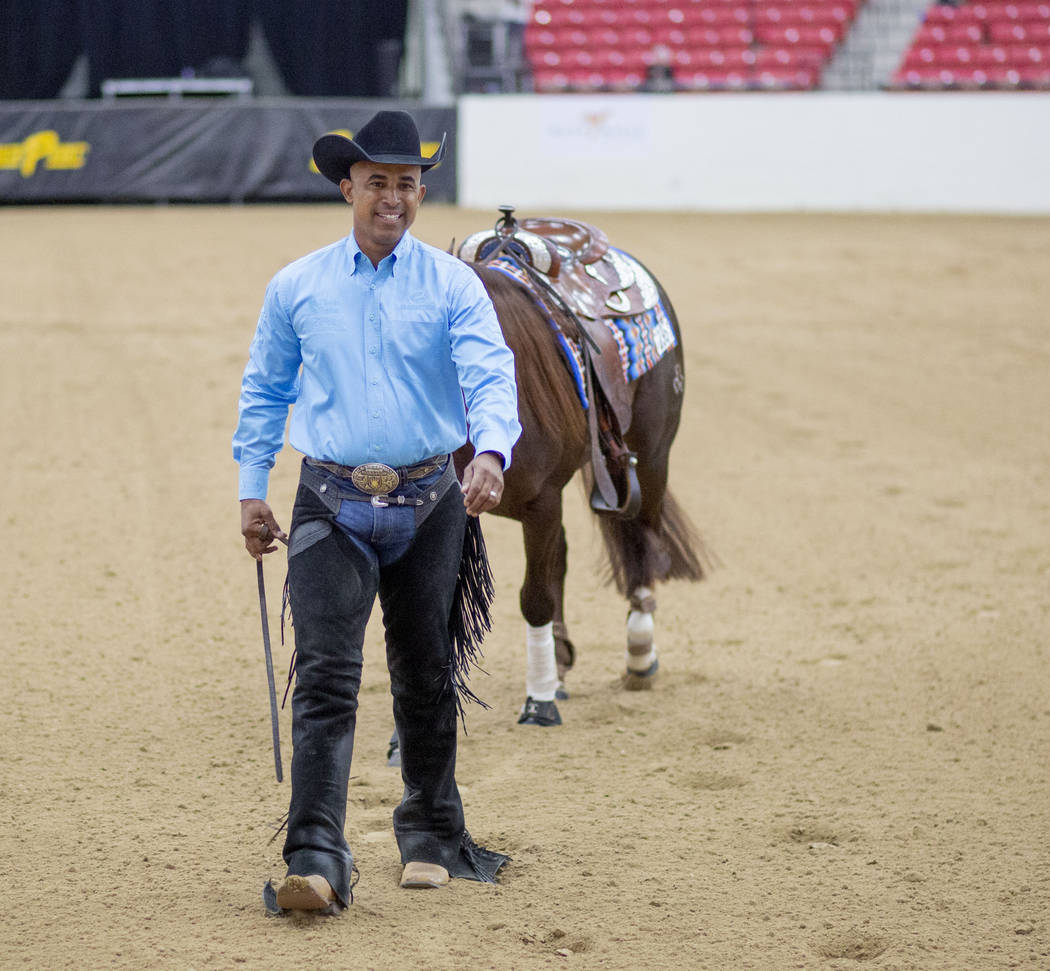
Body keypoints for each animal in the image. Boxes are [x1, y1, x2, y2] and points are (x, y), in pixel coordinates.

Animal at [453, 208, 709, 722]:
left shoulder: (541, 501)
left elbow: (535, 598)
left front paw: (539, 702)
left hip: (652, 454)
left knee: (642, 538)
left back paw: (639, 655)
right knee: (568, 554)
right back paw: (562, 662)